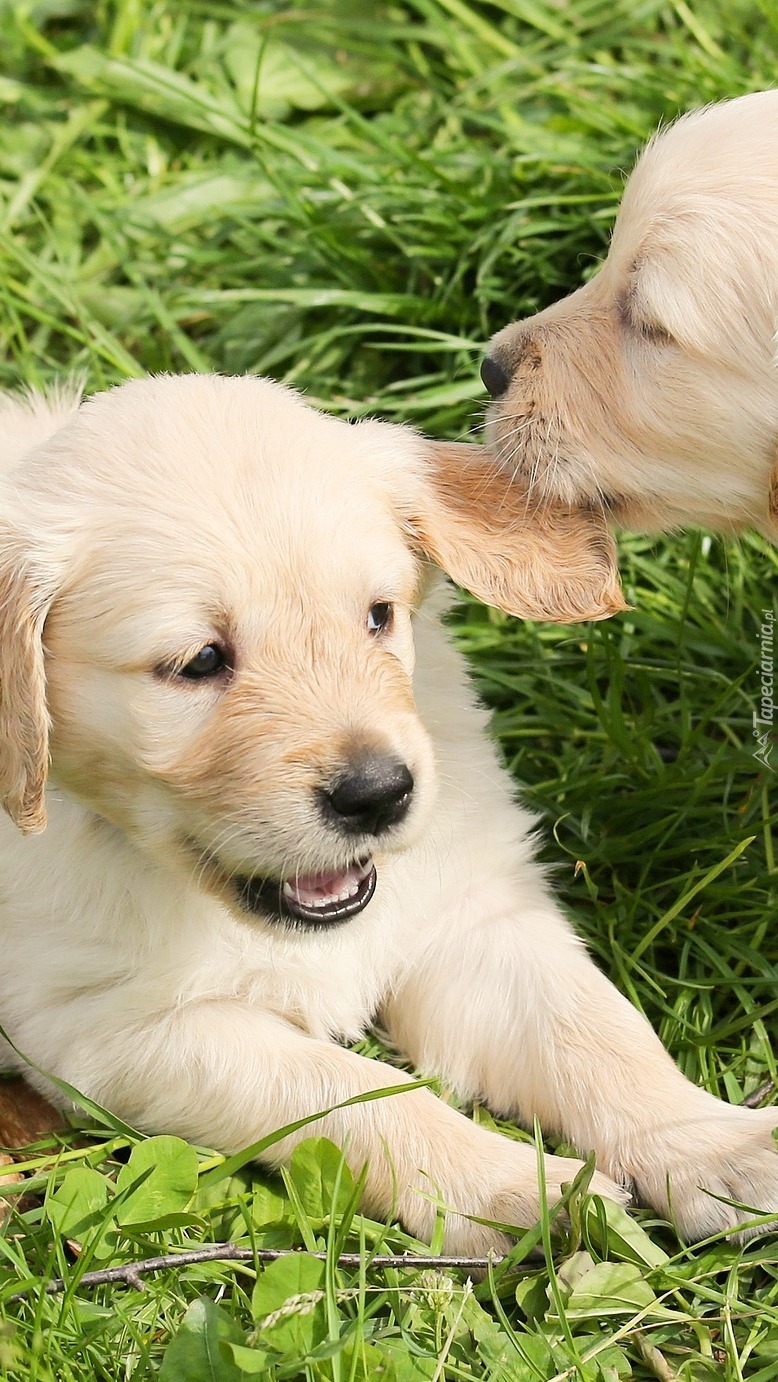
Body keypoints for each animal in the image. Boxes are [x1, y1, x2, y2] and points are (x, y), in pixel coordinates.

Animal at [0, 370, 773, 1254]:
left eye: (379, 616)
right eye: (198, 662)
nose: (379, 795)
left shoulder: (473, 918)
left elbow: (598, 1033)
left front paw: (712, 1143)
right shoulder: (108, 1026)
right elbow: (346, 1089)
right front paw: (506, 1184)